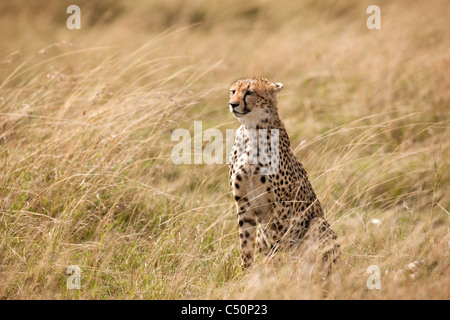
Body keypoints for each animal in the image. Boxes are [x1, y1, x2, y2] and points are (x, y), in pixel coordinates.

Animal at [229, 77, 338, 270]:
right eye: (233, 91)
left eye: (249, 92)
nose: (232, 104)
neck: (252, 129)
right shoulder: (243, 202)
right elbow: (245, 243)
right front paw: (245, 273)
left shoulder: (282, 205)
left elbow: (277, 243)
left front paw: (273, 270)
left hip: (317, 224)